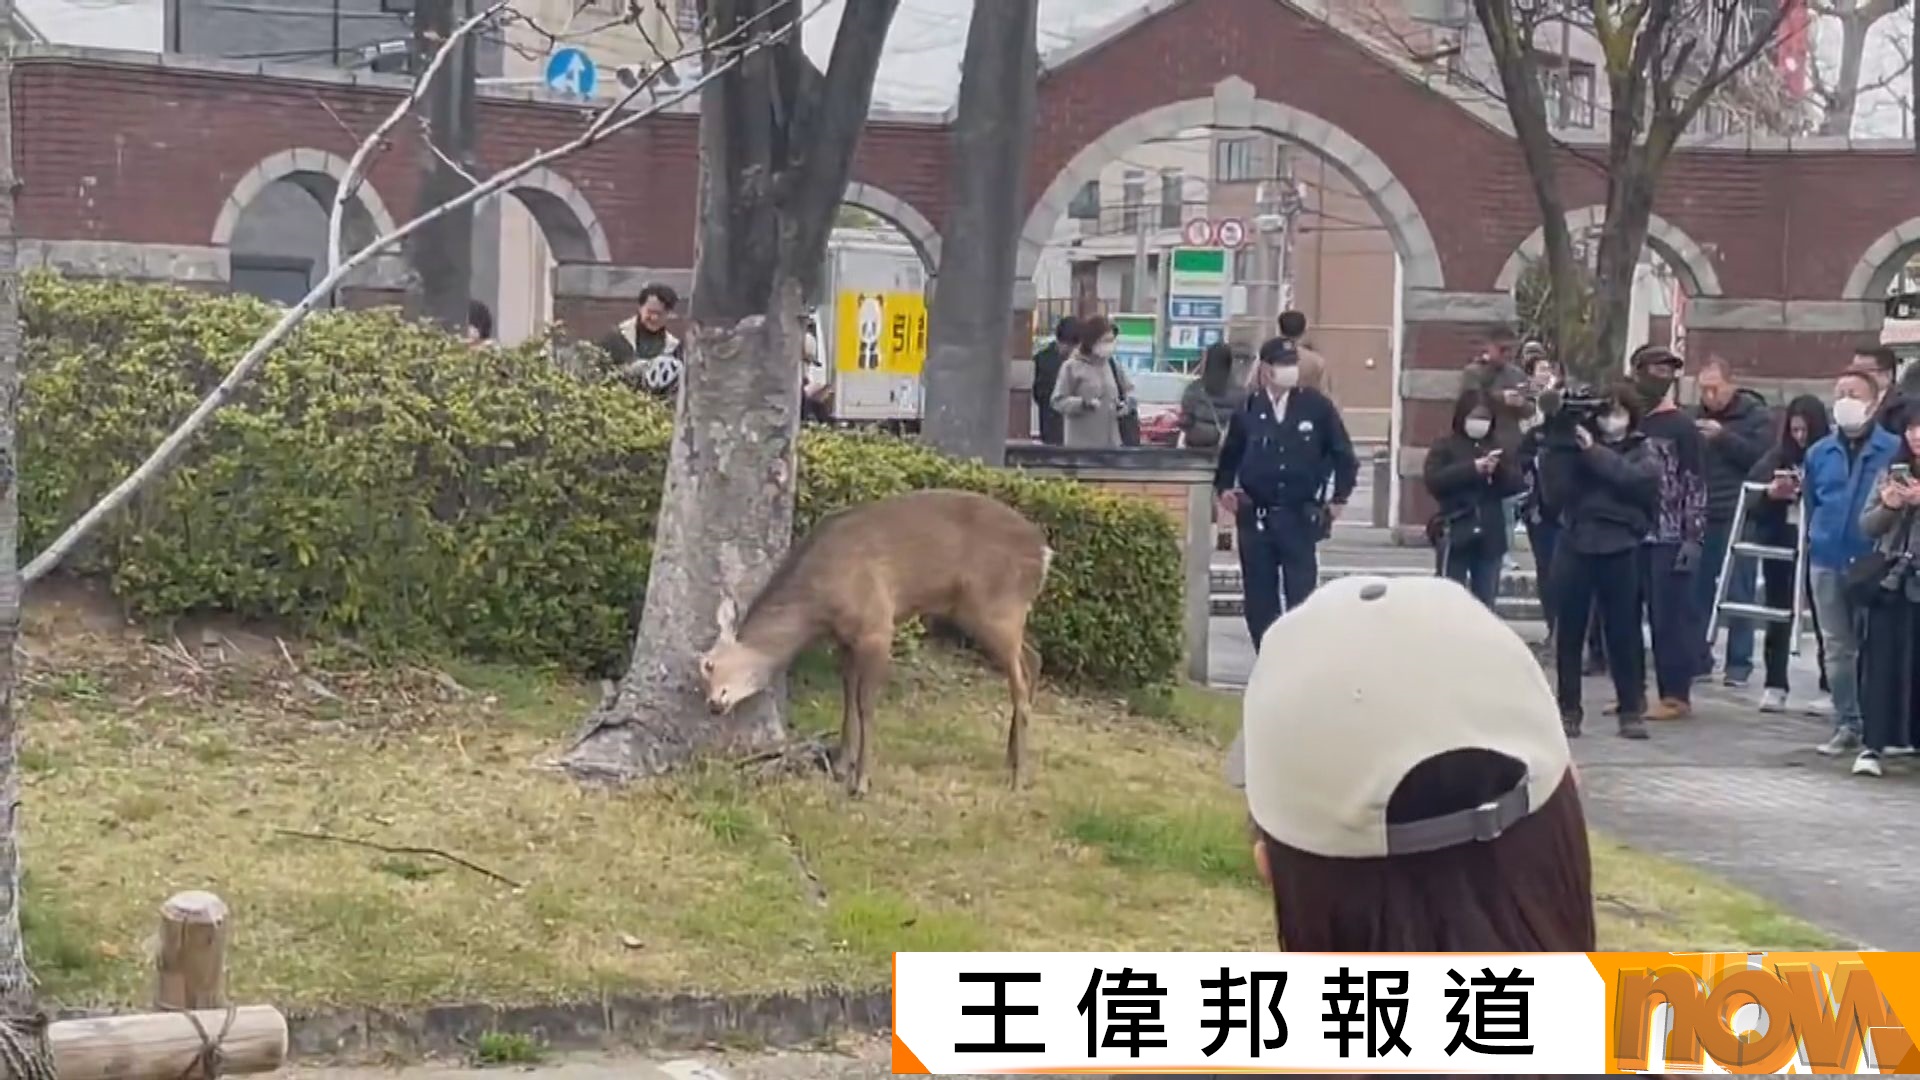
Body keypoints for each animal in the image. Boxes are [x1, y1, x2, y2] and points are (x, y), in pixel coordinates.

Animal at [700, 489, 1053, 796]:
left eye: (709, 663)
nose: (714, 703)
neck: (819, 603)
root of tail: (1044, 552)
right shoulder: (845, 638)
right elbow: (847, 698)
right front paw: (842, 764)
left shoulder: (877, 626)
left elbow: (865, 704)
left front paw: (860, 782)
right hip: (988, 612)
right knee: (1033, 659)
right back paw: (1011, 759)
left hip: (997, 607)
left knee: (1020, 682)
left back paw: (1019, 777)